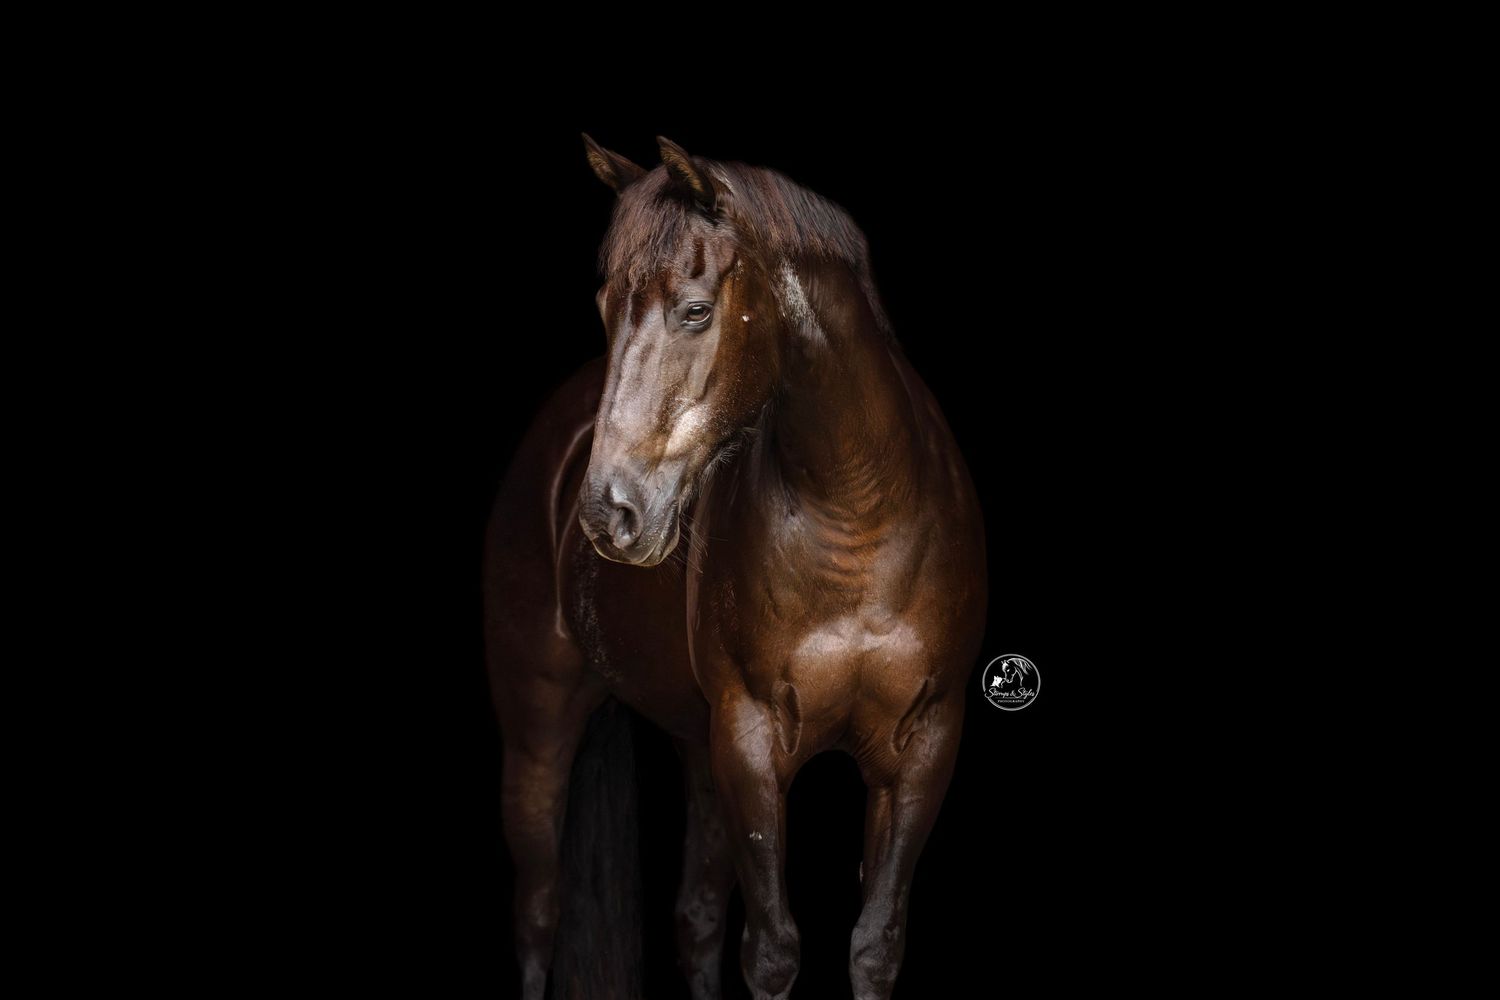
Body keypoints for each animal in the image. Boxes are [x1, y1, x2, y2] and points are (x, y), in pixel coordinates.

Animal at [482, 134, 988, 1000]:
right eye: (604, 306)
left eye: (695, 309)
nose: (609, 514)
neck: (857, 517)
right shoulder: (751, 743)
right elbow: (773, 950)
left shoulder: (924, 744)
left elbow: (874, 943)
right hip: (542, 733)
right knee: (538, 916)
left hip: (698, 744)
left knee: (695, 920)